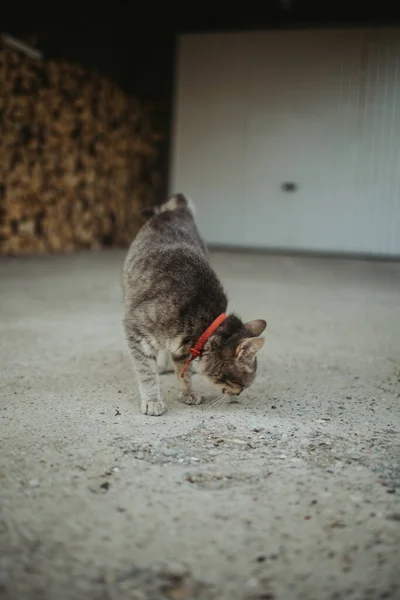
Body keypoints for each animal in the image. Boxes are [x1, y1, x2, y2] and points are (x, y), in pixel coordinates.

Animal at [122, 195, 266, 414]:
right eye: (242, 384)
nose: (239, 394)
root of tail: (178, 210)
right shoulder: (136, 331)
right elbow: (146, 373)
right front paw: (152, 400)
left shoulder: (183, 348)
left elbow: (184, 372)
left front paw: (187, 392)